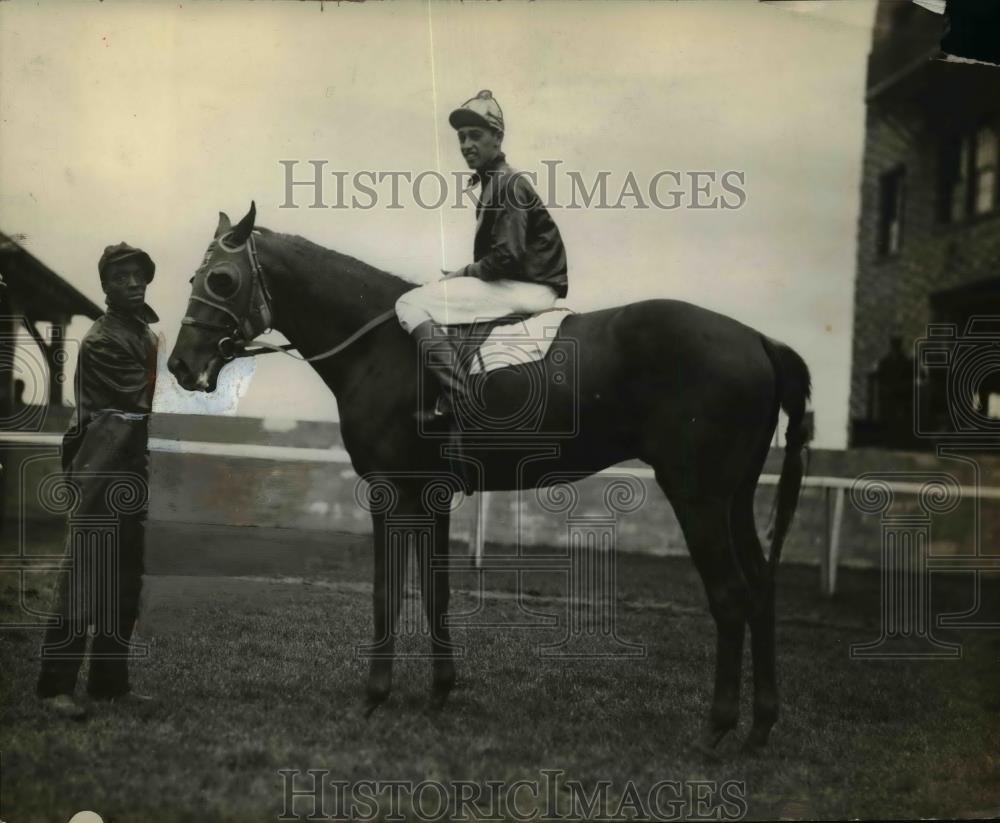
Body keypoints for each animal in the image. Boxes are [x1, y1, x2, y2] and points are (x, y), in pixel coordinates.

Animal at [170, 201, 812, 752]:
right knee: (761, 588)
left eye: (221, 279)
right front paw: (438, 693)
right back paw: (760, 727)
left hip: (696, 494)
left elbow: (387, 590)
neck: (382, 346)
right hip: (734, 497)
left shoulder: (388, 490)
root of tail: (758, 339)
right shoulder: (432, 496)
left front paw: (375, 697)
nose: (180, 365)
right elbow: (435, 592)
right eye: (194, 277)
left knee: (730, 595)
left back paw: (718, 729)